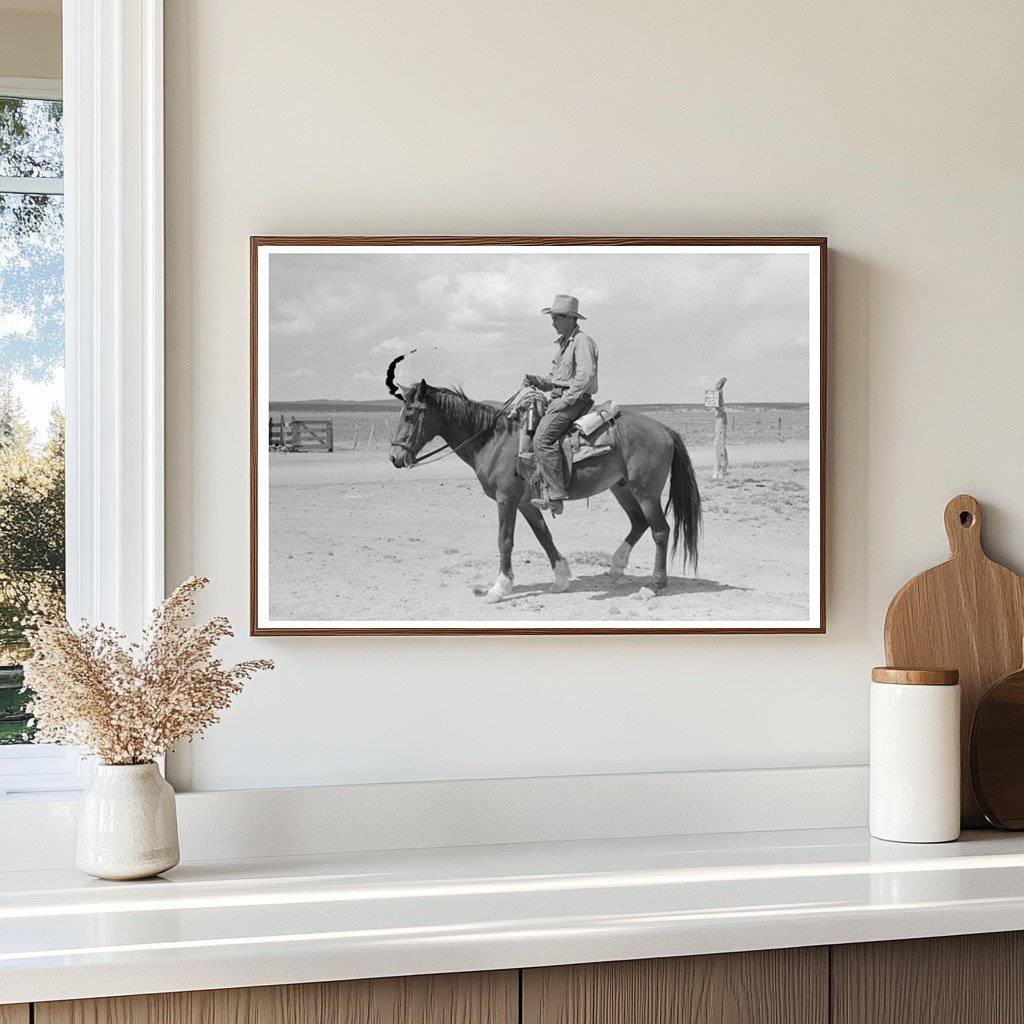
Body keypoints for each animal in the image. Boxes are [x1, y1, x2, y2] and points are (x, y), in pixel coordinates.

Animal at [385, 358, 704, 598]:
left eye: (410, 415)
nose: (395, 457)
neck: (493, 440)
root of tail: (666, 430)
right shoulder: (527, 502)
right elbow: (544, 536)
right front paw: (561, 578)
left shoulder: (506, 499)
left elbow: (505, 540)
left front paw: (499, 588)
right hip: (622, 488)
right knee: (639, 523)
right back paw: (616, 567)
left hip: (646, 491)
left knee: (660, 530)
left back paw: (655, 585)